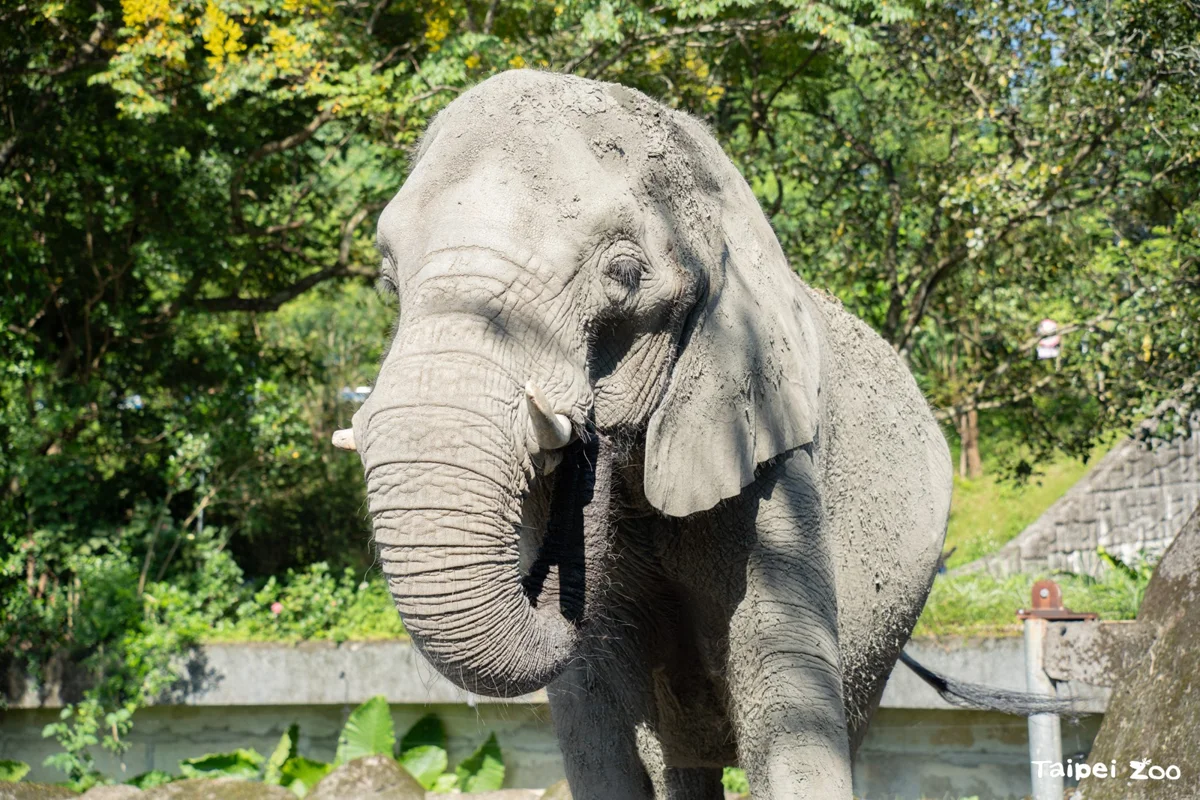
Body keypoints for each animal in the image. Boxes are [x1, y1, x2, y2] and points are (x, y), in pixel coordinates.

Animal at [334, 70, 1029, 799]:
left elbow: (791, 711)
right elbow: (593, 720)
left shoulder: (772, 455)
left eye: (624, 276)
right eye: (387, 281)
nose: (580, 440)